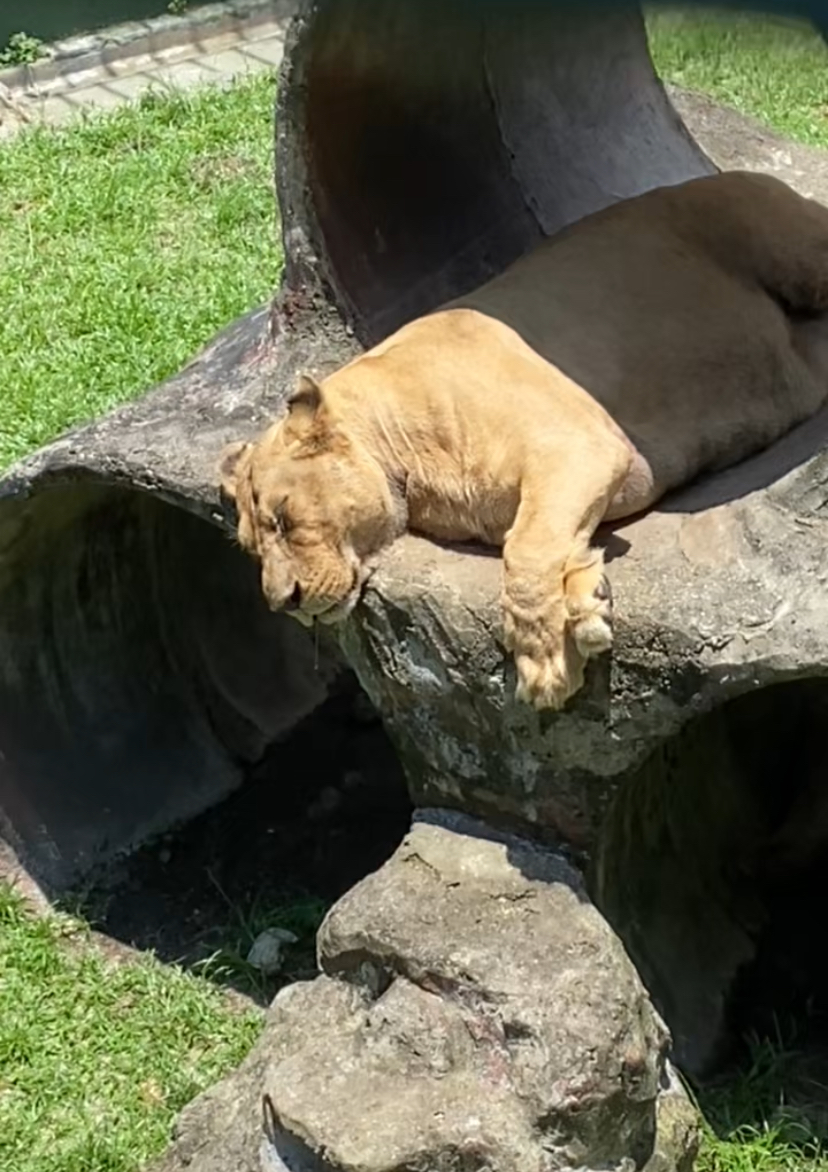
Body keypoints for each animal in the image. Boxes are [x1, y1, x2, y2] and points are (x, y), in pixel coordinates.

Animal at [220, 169, 828, 707]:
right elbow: (543, 542)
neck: (406, 459)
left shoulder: (584, 447)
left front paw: (545, 668)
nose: (284, 602)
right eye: (251, 547)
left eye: (284, 518)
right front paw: (585, 601)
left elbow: (526, 554)